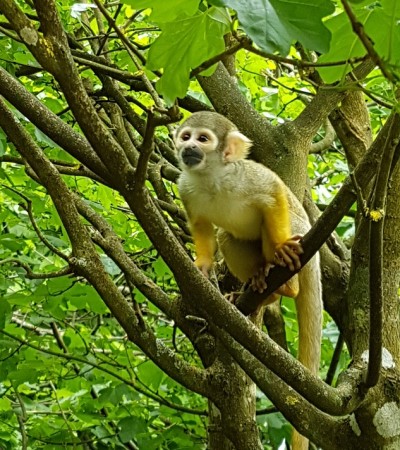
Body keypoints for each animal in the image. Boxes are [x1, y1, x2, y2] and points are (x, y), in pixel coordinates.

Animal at [174, 111, 322, 450]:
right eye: (185, 136)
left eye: (203, 139)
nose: (188, 148)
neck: (211, 177)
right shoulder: (185, 186)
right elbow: (201, 224)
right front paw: (202, 265)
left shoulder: (247, 176)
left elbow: (273, 192)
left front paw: (280, 249)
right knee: (227, 236)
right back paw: (259, 286)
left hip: (299, 229)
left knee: (277, 217)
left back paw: (285, 281)